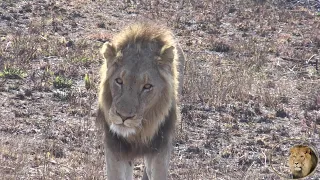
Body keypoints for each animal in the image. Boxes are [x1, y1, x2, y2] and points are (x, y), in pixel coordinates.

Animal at [96, 21, 184, 180]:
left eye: (147, 86)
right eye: (119, 81)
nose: (123, 116)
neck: (137, 134)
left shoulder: (160, 148)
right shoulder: (115, 148)